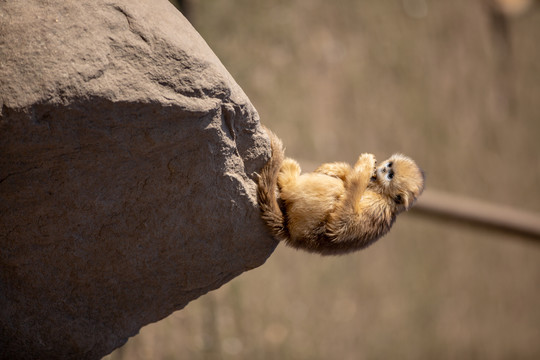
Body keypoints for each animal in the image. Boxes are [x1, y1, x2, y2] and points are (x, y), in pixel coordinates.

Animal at [258, 127, 426, 256]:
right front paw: (337, 169)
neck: (381, 193)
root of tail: (292, 234)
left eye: (390, 175)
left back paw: (288, 180)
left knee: (335, 190)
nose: (383, 169)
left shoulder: (376, 206)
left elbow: (339, 226)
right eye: (389, 166)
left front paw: (364, 167)